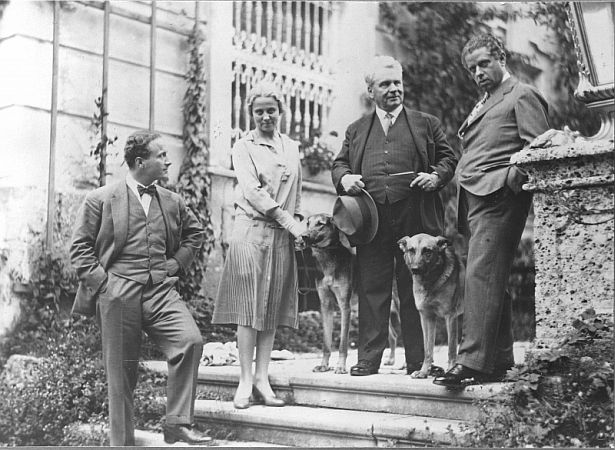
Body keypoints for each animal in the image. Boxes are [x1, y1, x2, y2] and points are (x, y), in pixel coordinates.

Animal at [398, 234, 464, 378]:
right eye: (411, 250)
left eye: (427, 251)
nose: (415, 269)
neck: (430, 281)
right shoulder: (427, 318)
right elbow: (428, 349)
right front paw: (423, 372)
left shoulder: (450, 317)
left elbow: (451, 349)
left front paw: (450, 370)